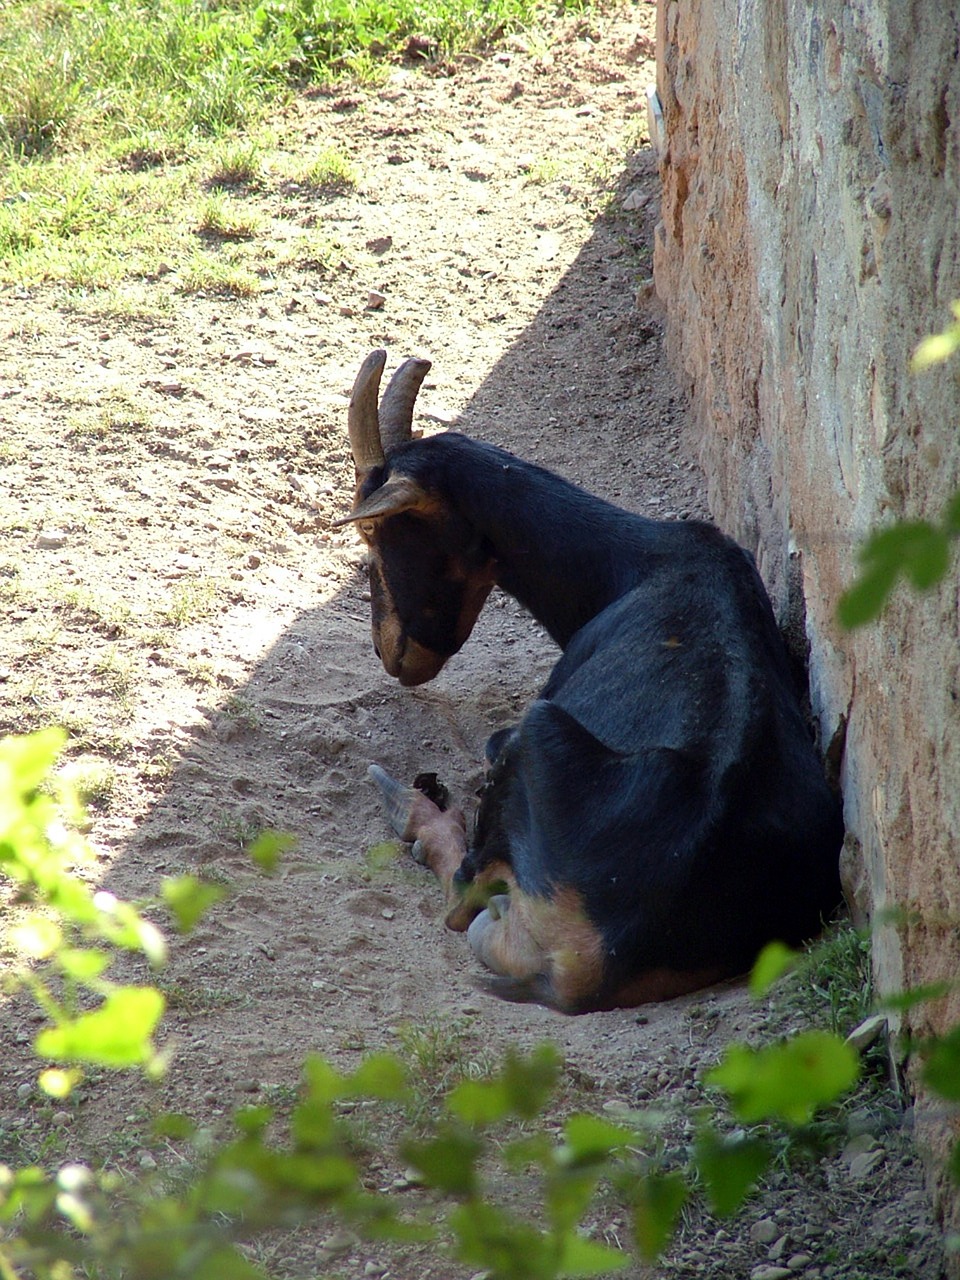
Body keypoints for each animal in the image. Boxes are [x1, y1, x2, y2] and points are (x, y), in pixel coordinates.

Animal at [335, 348, 844, 1008]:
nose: (391, 654)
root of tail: (597, 958)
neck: (641, 562)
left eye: (372, 530)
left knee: (462, 899)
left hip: (534, 736)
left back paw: (414, 808)